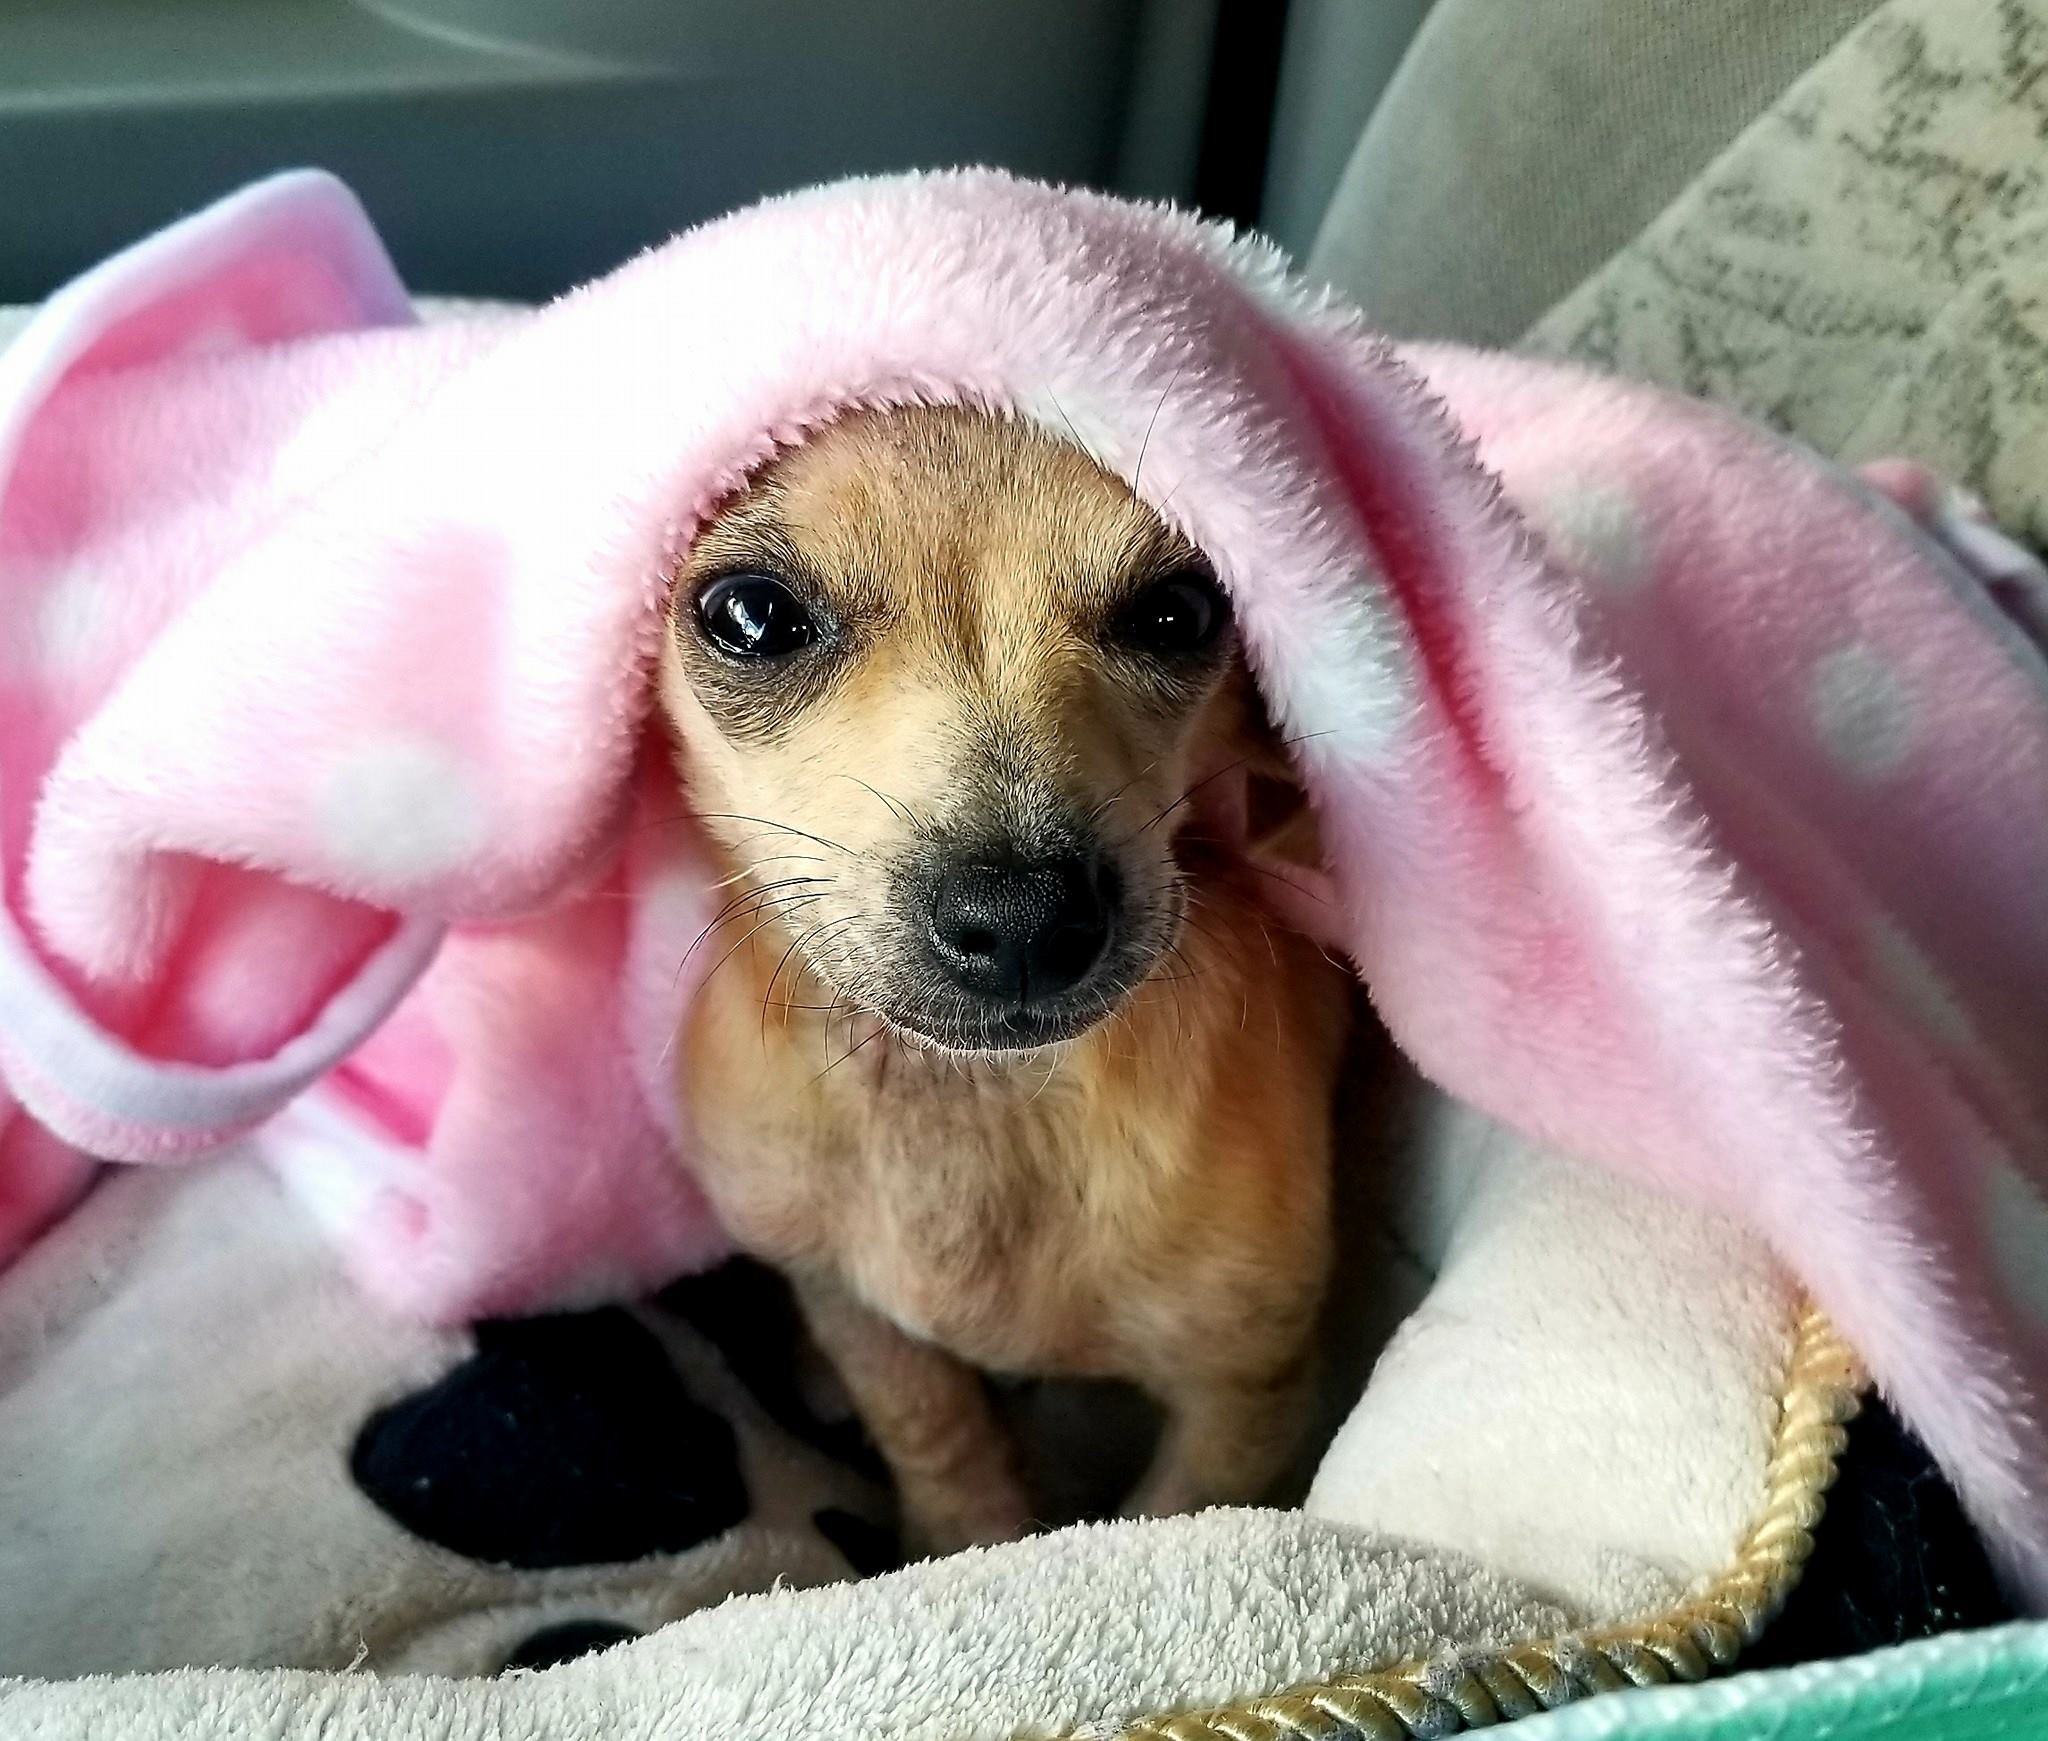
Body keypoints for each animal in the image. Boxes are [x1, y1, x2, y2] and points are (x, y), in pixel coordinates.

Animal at [663, 403, 1351, 1548]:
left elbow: (1174, 1516)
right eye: (751, 615)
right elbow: (934, 1432)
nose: (1023, 915)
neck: (971, 1105)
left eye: (1180, 612)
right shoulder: (849, 1298)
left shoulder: (1246, 1389)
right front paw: (960, 1538)